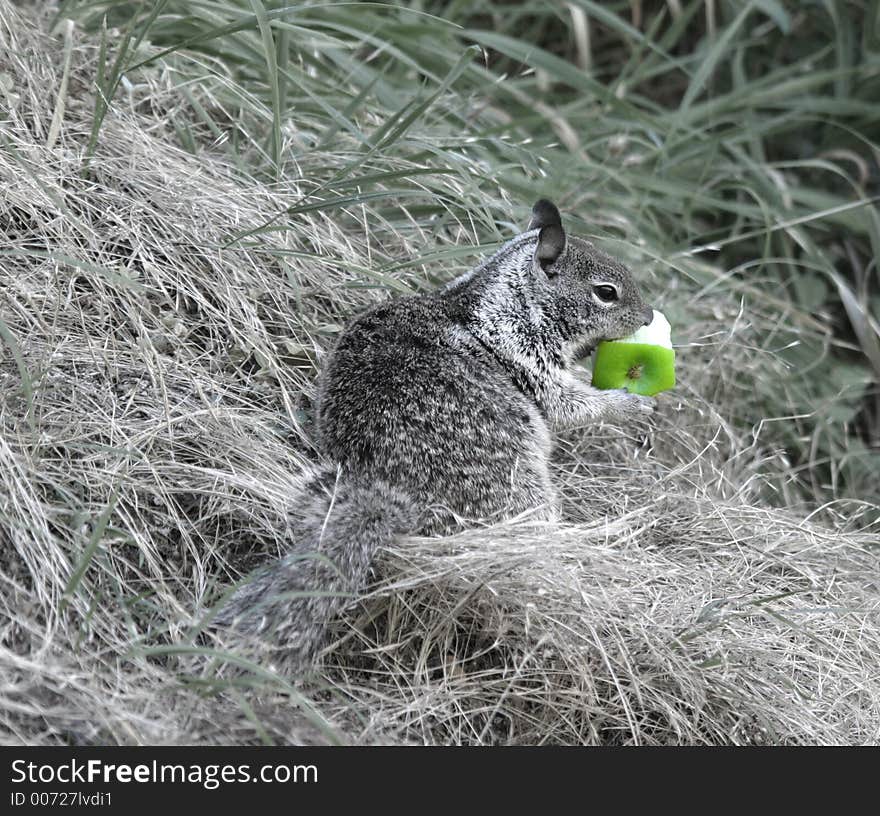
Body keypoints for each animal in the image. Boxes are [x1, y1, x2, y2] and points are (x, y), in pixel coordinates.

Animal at [211, 201, 652, 668]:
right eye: (606, 292)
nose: (648, 317)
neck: (508, 300)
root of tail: (395, 487)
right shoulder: (528, 358)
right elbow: (569, 405)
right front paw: (629, 404)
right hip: (526, 489)